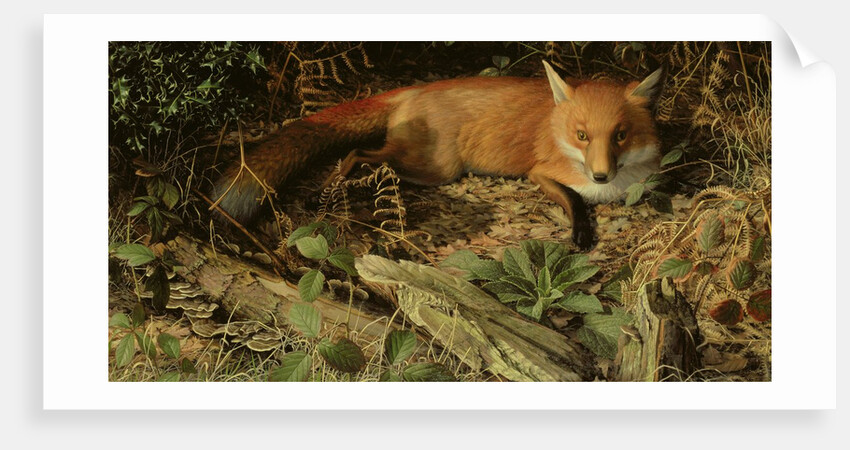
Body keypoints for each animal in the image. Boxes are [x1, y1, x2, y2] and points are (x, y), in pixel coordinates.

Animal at [212, 60, 664, 250]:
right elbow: (574, 200)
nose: (601, 176)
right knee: (357, 152)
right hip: (436, 168)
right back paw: (324, 193)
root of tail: (415, 89)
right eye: (582, 136)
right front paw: (582, 234)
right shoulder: (539, 172)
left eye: (620, 135)